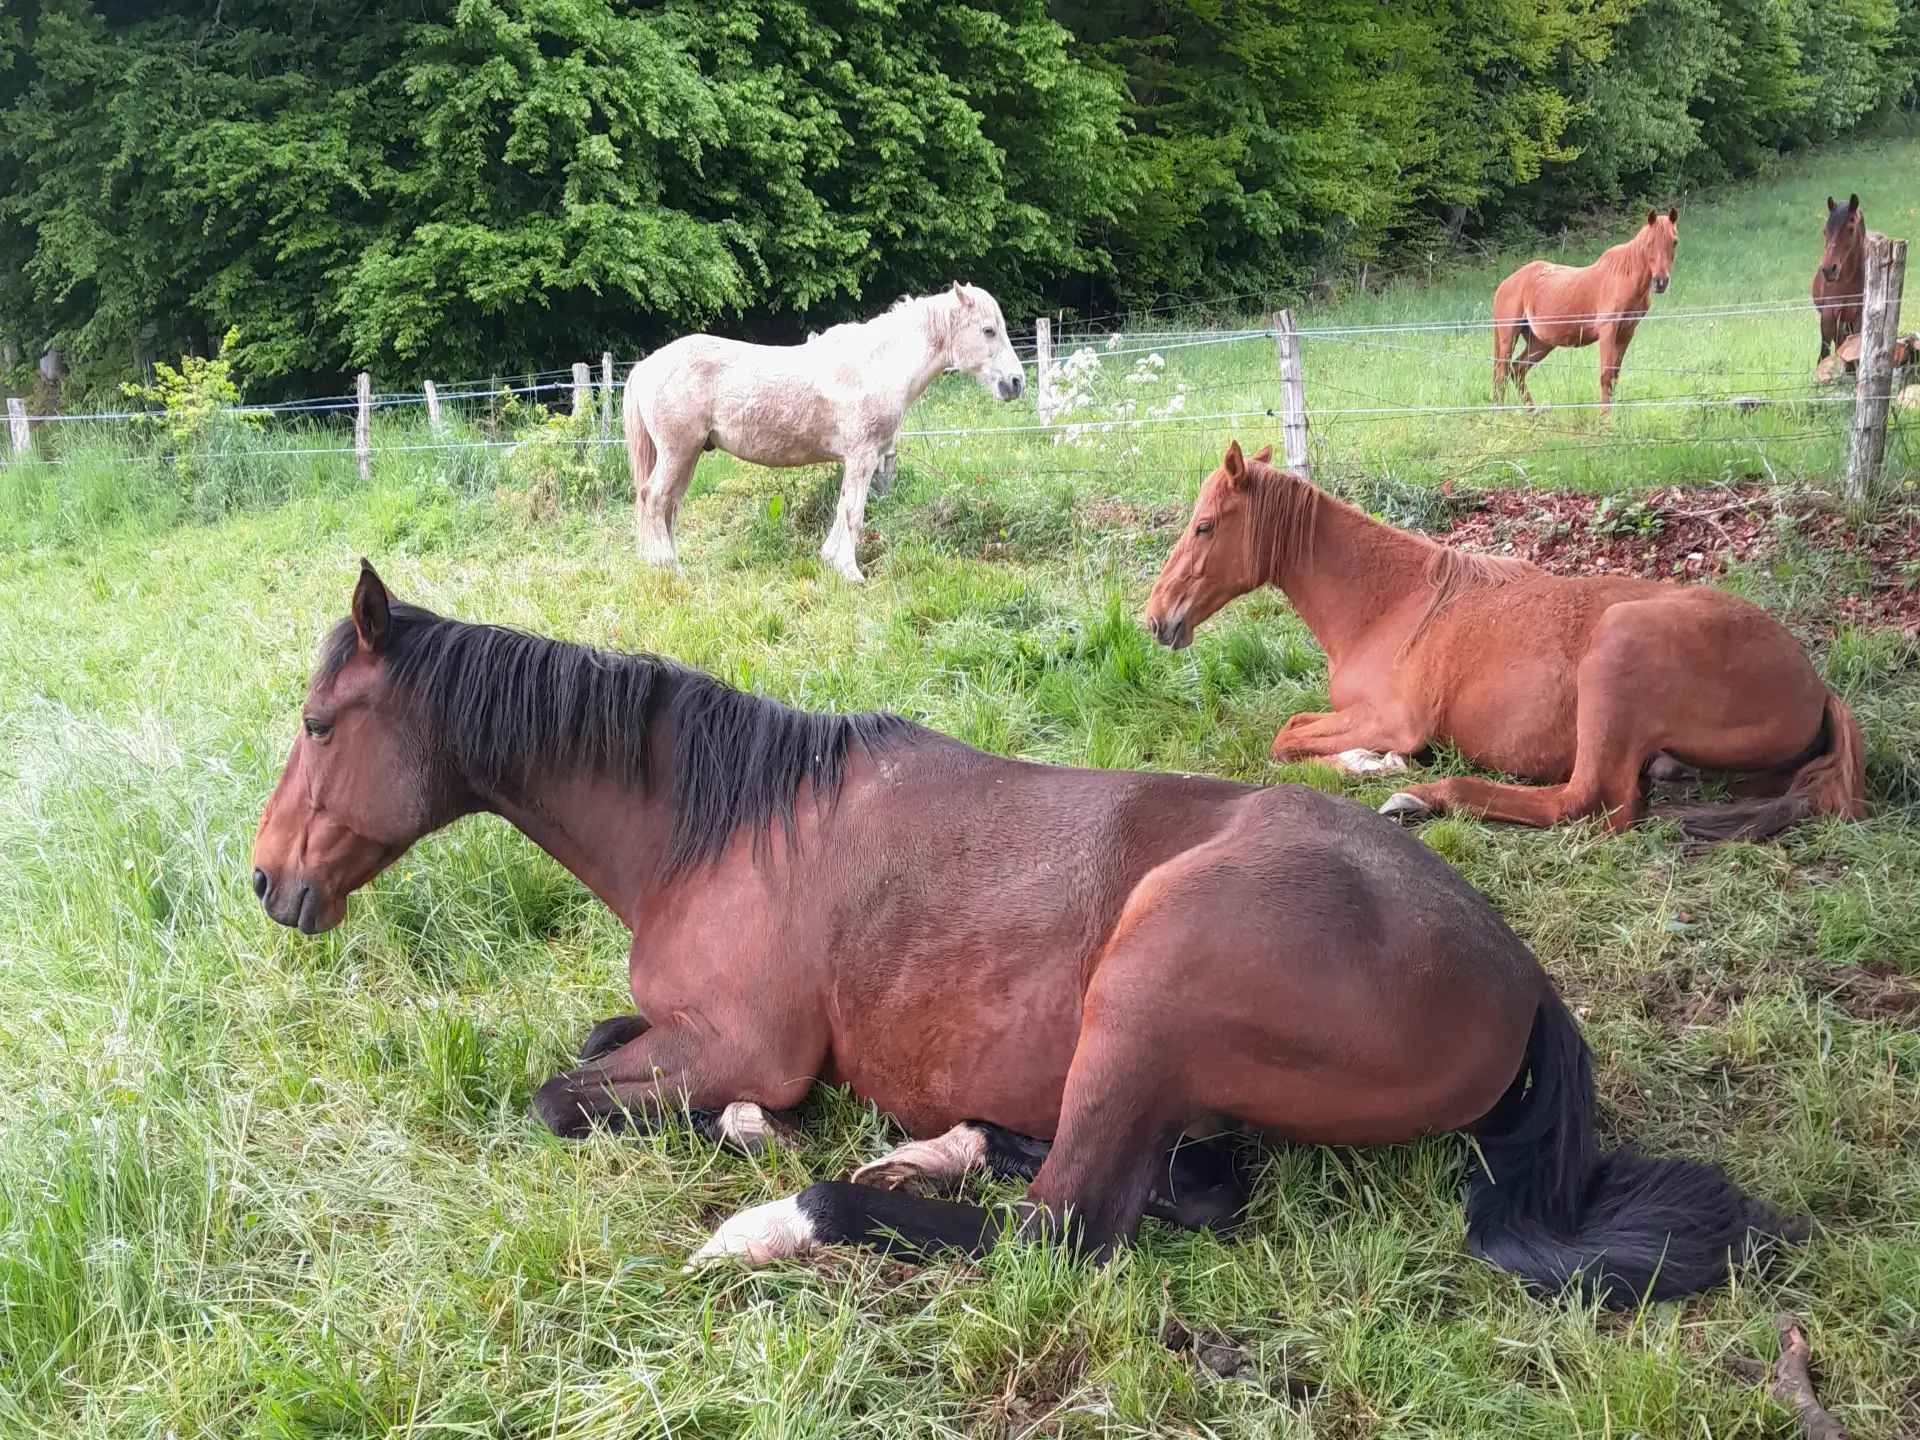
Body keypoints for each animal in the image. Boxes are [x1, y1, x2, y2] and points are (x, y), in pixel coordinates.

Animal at [249, 560, 1797, 1305]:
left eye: (321, 725)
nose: (269, 884)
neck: (720, 825)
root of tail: (1517, 976)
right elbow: (591, 1040)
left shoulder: (733, 1043)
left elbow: (565, 1095)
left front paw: (754, 1142)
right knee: (1168, 1185)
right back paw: (945, 1143)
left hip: (1149, 986)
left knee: (1066, 1229)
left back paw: (785, 1219)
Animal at [623, 283, 1024, 583]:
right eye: (988, 330)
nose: (1016, 382)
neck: (877, 365)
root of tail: (647, 365)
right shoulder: (862, 456)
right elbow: (853, 513)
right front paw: (850, 572)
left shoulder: (858, 460)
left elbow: (845, 508)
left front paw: (831, 560)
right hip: (678, 452)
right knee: (653, 499)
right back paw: (667, 568)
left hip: (687, 455)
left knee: (669, 506)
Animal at [1143, 442, 1867, 840]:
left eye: (1205, 527)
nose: (1156, 618)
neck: (1389, 604)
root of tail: (1814, 686)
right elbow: (1293, 728)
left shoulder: (1392, 720)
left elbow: (1286, 739)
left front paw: (1380, 766)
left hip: (1616, 654)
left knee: (1589, 802)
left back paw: (1424, 798)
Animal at [1491, 208, 1679, 415]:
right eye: (1650, 243)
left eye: (1674, 241)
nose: (1661, 282)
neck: (1624, 276)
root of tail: (1505, 284)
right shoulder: (1608, 331)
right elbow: (1605, 376)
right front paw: (1604, 420)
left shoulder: (1626, 333)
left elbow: (1614, 377)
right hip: (1509, 335)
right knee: (1501, 372)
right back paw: (1500, 414)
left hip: (1540, 343)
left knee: (1517, 369)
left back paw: (1533, 413)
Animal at [1813, 194, 1867, 368]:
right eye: (1825, 231)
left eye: (1851, 229)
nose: (1829, 269)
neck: (1847, 279)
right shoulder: (1829, 315)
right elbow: (1824, 354)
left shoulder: (1858, 314)